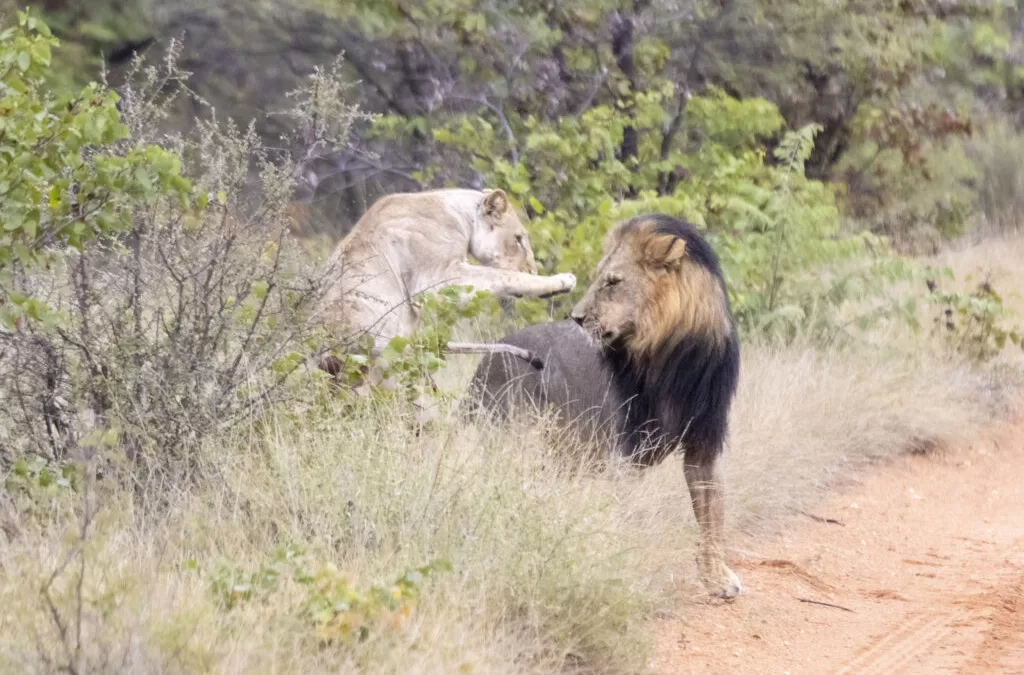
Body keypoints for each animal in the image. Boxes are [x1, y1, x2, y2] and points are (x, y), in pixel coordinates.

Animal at [317, 187, 577, 350]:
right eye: (519, 239)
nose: (532, 269)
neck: (460, 216)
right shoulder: (435, 279)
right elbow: (503, 276)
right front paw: (560, 281)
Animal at [468, 215, 741, 598]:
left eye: (613, 282)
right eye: (599, 277)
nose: (577, 318)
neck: (675, 355)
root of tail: (486, 361)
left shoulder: (705, 440)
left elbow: (712, 515)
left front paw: (715, 576)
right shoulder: (623, 452)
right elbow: (631, 519)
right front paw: (630, 575)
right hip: (514, 440)